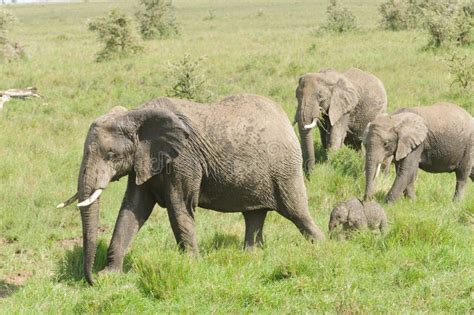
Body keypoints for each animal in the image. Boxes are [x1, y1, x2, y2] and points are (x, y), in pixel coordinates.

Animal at [58, 94, 326, 286]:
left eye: (111, 155)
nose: (91, 281)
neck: (136, 114)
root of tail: (284, 117)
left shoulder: (183, 159)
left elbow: (179, 206)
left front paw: (191, 265)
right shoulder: (144, 160)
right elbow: (132, 210)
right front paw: (110, 276)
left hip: (285, 169)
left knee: (296, 211)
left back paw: (323, 248)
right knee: (254, 215)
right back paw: (251, 255)